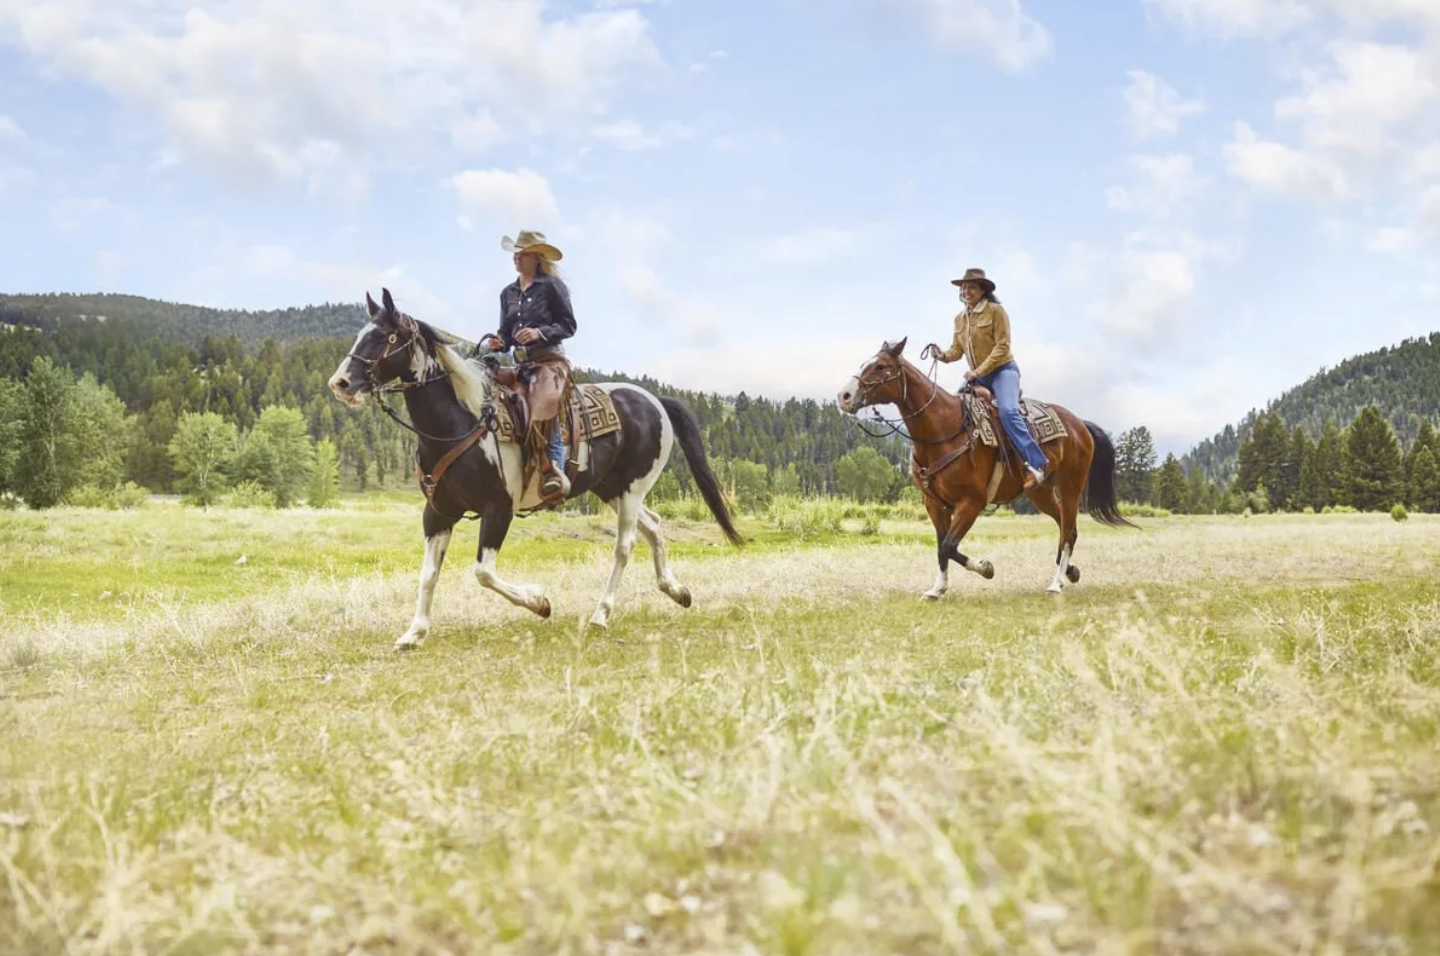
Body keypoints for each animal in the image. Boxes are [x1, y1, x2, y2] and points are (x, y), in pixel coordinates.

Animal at [328, 287, 743, 645]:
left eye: (386, 337)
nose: (341, 383)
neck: (461, 422)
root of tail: (654, 400)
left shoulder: (499, 509)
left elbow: (483, 572)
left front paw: (540, 602)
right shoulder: (438, 513)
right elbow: (429, 574)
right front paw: (414, 633)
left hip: (633, 488)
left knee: (624, 547)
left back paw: (601, 615)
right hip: (611, 488)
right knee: (654, 526)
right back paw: (677, 591)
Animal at [835, 338, 1134, 598]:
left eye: (881, 366)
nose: (844, 396)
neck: (945, 430)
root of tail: (1079, 424)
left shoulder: (972, 502)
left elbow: (949, 546)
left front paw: (985, 568)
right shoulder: (934, 504)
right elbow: (941, 548)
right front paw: (937, 589)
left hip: (1071, 486)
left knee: (1068, 531)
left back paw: (1056, 583)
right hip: (1040, 493)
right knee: (1065, 527)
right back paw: (1069, 572)